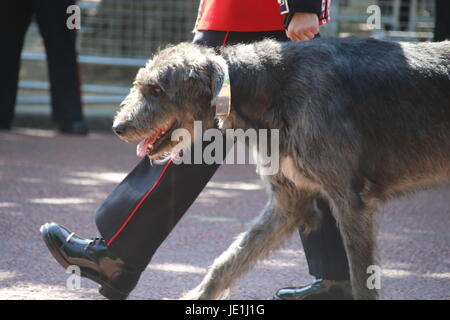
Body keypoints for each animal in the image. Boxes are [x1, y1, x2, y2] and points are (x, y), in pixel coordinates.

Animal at [112, 38, 450, 300]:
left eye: (157, 90)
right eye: (140, 85)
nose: (118, 127)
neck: (271, 88)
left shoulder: (351, 201)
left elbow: (362, 276)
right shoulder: (289, 200)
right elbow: (231, 259)